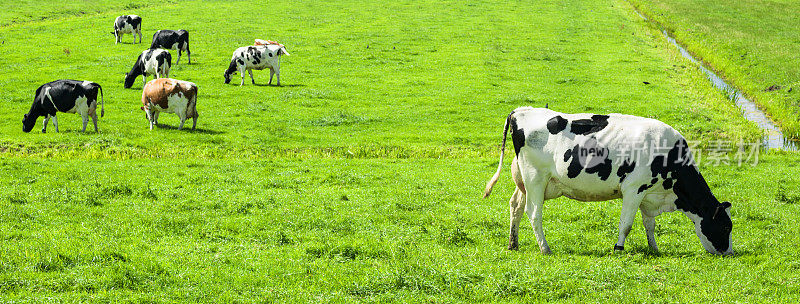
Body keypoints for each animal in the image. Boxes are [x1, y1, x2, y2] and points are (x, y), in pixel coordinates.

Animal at [484, 108, 736, 255]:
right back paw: (545, 248)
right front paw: (619, 247)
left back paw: (513, 244)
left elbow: (649, 225)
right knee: (534, 213)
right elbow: (626, 224)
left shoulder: (648, 195)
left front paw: (654, 248)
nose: (729, 252)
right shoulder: (634, 189)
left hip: (524, 181)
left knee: (515, 206)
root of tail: (521, 110)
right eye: (726, 226)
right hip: (535, 177)